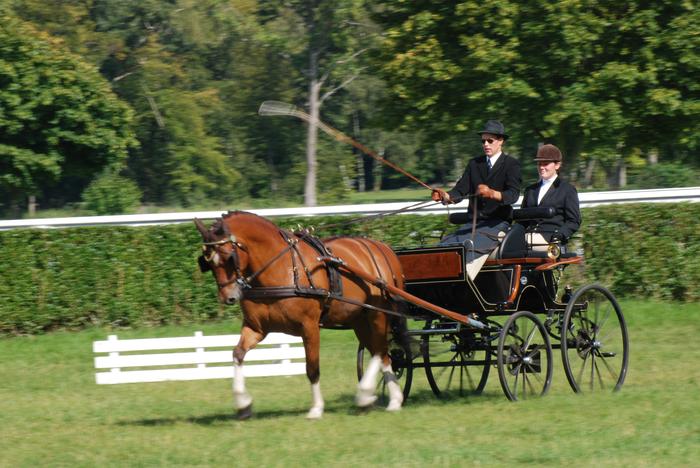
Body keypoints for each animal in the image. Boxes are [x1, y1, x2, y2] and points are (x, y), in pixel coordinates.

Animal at [194, 210, 408, 418]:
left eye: (229, 257)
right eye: (206, 262)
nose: (227, 297)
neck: (280, 267)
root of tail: (382, 247)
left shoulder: (309, 326)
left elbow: (312, 368)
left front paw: (316, 408)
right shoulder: (256, 328)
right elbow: (237, 354)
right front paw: (243, 404)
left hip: (377, 314)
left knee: (380, 349)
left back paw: (367, 395)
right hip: (359, 320)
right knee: (382, 354)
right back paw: (390, 399)